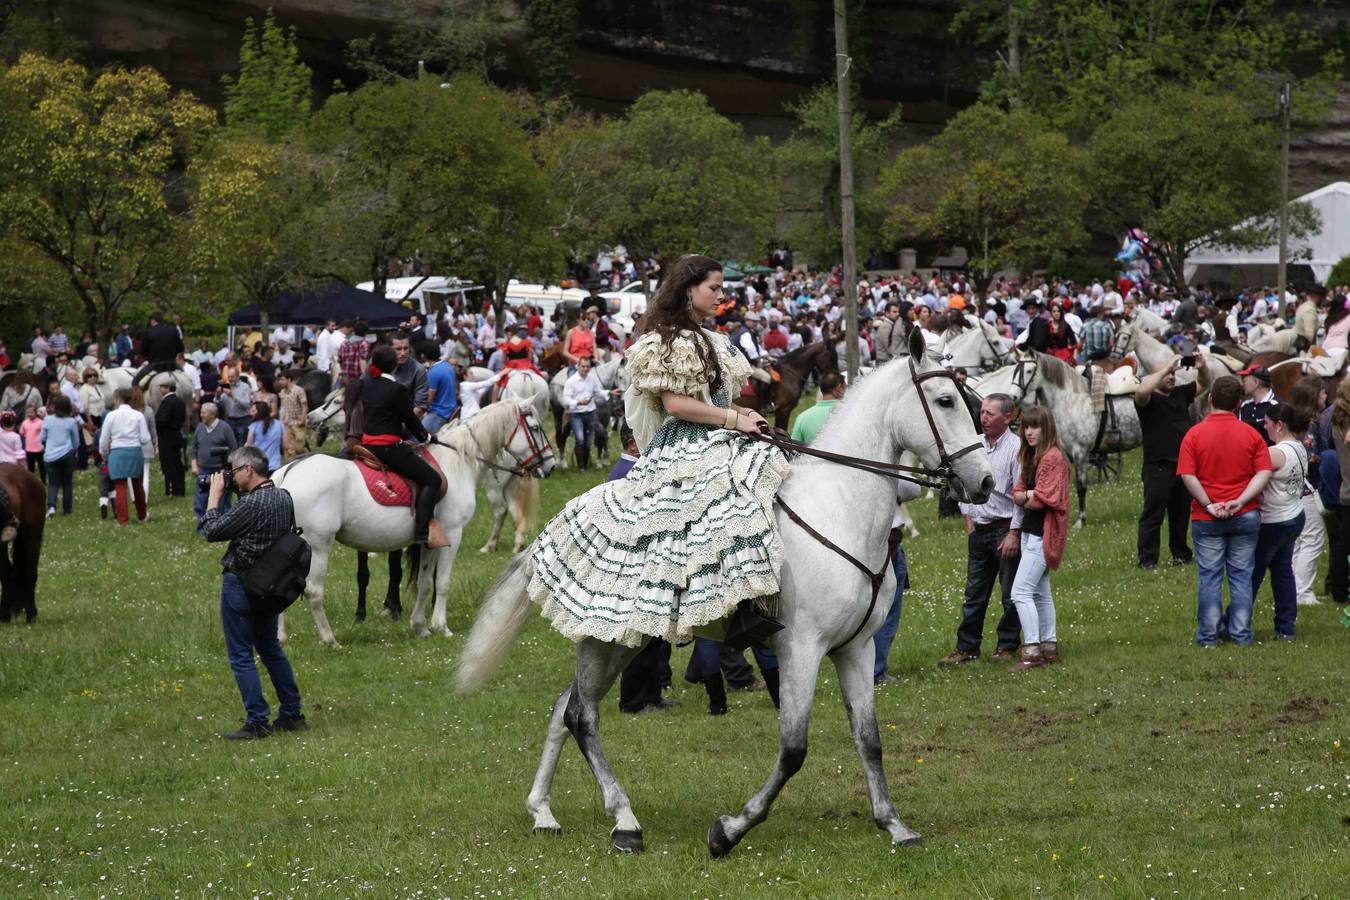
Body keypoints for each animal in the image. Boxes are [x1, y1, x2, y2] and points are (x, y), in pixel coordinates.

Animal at [274, 402, 553, 647]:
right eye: (535, 427)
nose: (549, 465)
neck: (456, 462)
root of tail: (288, 471)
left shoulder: (431, 540)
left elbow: (425, 582)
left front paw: (420, 627)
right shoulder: (453, 534)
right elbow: (442, 582)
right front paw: (441, 626)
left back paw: (281, 638)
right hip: (318, 545)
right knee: (313, 591)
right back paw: (329, 639)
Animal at [453, 325, 993, 858]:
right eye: (946, 400)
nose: (985, 483)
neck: (837, 510)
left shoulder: (856, 648)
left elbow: (869, 739)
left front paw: (894, 824)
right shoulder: (801, 648)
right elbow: (793, 750)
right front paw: (729, 830)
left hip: (619, 640)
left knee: (563, 710)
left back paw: (543, 812)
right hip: (602, 641)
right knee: (580, 715)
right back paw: (624, 821)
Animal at [972, 348, 1139, 523]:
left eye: (1030, 370)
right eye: (1015, 371)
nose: (1013, 397)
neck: (1071, 401)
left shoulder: (1081, 453)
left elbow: (1081, 486)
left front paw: (1080, 519)